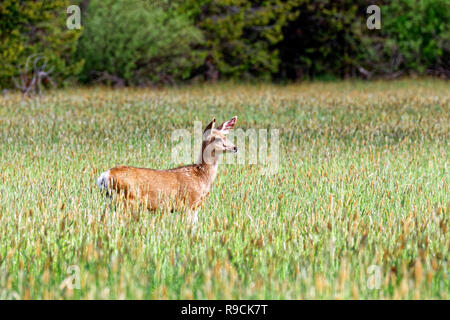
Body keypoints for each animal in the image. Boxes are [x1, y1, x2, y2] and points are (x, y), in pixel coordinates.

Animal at [97, 116, 239, 224]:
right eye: (217, 138)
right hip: (127, 199)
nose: (235, 147)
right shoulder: (189, 203)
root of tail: (105, 176)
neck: (201, 176)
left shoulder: (195, 206)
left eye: (226, 136)